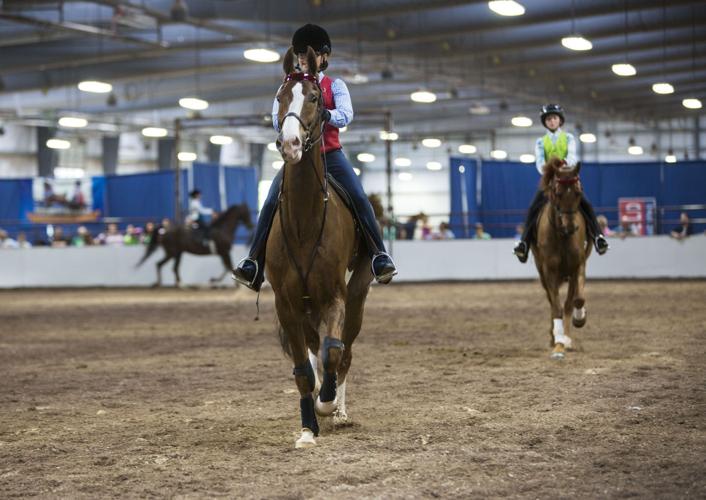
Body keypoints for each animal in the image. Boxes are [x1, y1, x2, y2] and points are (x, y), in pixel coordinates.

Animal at [266, 47, 372, 450]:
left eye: (315, 97)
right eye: (280, 97)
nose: (290, 144)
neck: (304, 225)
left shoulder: (335, 298)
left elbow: (333, 351)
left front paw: (326, 406)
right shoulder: (287, 305)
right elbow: (302, 369)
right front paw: (308, 427)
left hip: (357, 293)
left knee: (344, 350)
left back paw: (338, 409)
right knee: (314, 349)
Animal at [532, 158, 588, 358]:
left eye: (578, 192)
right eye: (557, 192)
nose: (571, 227)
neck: (562, 236)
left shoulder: (578, 266)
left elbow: (576, 300)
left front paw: (579, 321)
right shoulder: (549, 271)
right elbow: (556, 307)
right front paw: (558, 344)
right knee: (552, 301)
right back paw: (555, 337)